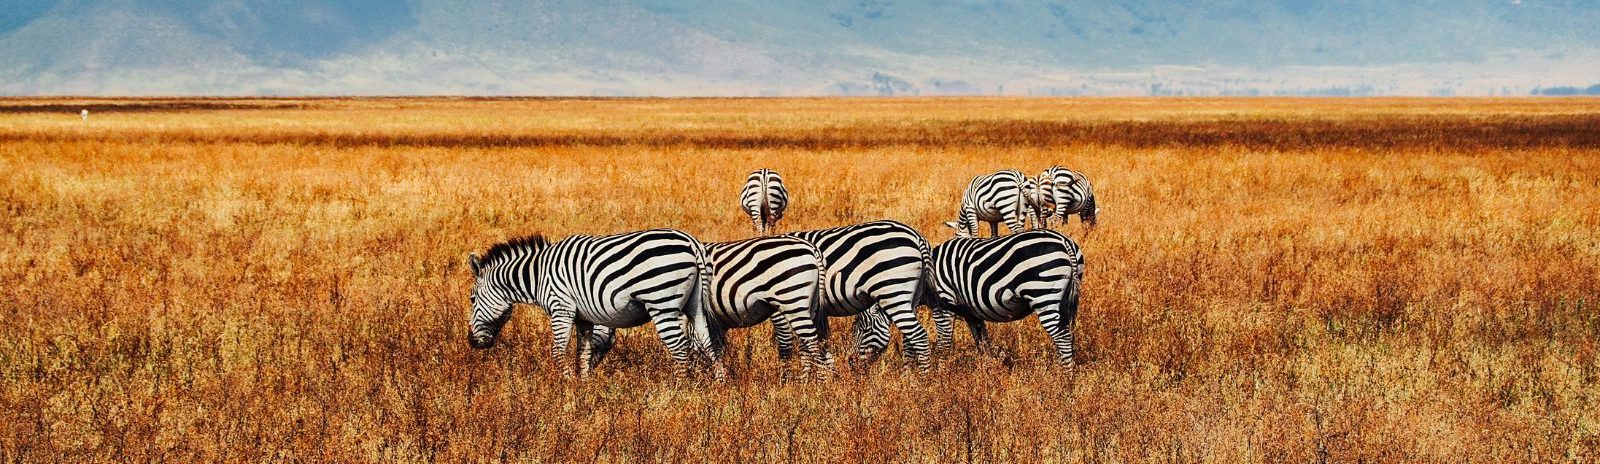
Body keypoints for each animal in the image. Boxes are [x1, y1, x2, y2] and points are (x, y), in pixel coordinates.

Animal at [466, 229, 721, 378]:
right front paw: (584, 386)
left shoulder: (561, 308)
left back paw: (679, 388)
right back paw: (719, 388)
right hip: (695, 304)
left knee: (679, 347)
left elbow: (558, 352)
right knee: (709, 342)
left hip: (661, 303)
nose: (471, 342)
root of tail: (691, 242)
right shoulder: (584, 318)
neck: (538, 275)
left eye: (472, 299)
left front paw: (567, 387)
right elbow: (584, 353)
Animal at [773, 220, 934, 371]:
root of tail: (916, 236)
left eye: (864, 330)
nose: (851, 362)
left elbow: (786, 345)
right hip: (911, 297)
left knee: (918, 337)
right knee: (909, 339)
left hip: (892, 292)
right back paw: (908, 375)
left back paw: (922, 378)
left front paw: (788, 377)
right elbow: (813, 343)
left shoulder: (783, 305)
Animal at [921, 229, 1086, 367]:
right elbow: (982, 341)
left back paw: (1065, 375)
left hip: (1044, 294)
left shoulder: (943, 303)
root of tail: (1064, 241)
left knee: (1062, 337)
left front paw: (942, 372)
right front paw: (987, 368)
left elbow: (944, 343)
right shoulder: (970, 312)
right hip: (1064, 298)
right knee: (1068, 334)